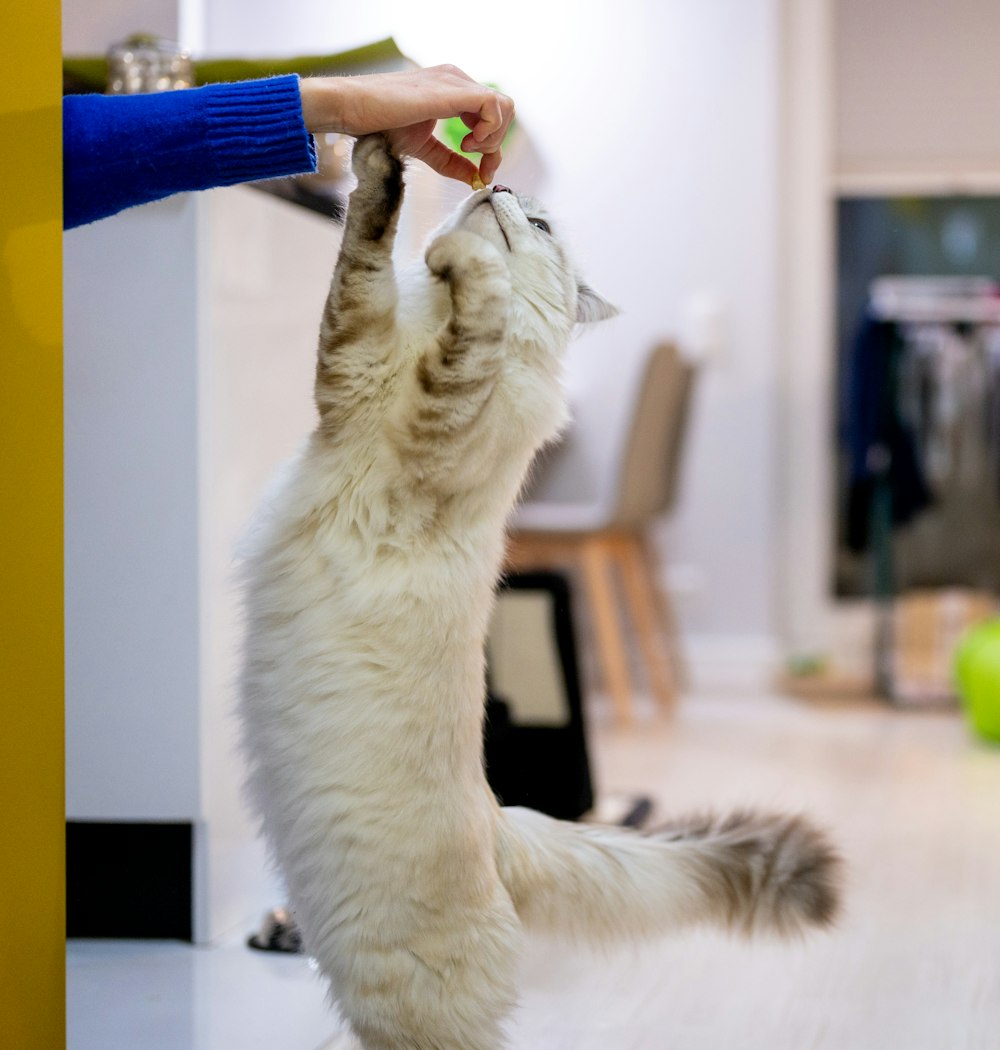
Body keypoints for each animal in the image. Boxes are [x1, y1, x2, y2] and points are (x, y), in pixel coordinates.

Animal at [238, 133, 840, 1050]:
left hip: (405, 1010)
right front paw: (381, 158)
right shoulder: (353, 358)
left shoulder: (436, 426)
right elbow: (366, 243)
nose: (502, 189)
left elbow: (470, 328)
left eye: (543, 224)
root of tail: (501, 823)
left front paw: (463, 263)